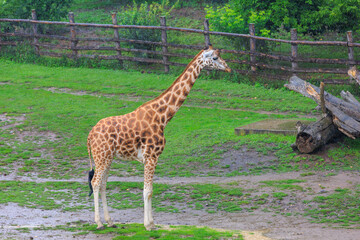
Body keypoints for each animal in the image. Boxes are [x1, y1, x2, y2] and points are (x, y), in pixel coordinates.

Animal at [87, 45, 231, 231]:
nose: (228, 68)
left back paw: (110, 221)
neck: (162, 117)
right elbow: (147, 191)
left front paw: (152, 223)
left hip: (107, 157)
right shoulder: (151, 156)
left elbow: (150, 190)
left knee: (103, 184)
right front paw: (148, 225)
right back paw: (99, 223)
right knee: (96, 182)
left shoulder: (151, 158)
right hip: (102, 156)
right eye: (214, 58)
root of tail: (90, 134)